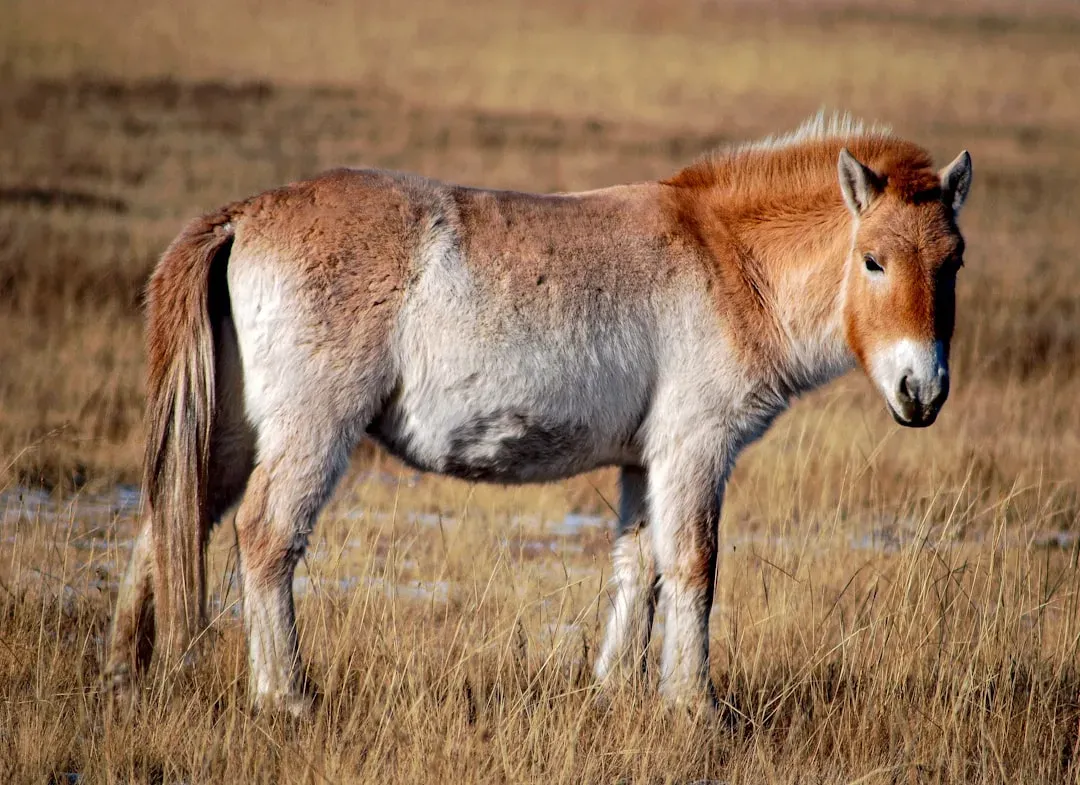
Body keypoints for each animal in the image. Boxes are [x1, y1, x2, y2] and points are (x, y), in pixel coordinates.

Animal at [105, 113, 972, 715]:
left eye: (954, 261)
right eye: (873, 260)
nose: (922, 391)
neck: (727, 258)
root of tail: (244, 215)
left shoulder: (644, 461)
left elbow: (640, 567)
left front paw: (615, 692)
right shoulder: (695, 449)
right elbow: (694, 566)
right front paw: (697, 706)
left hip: (229, 433)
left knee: (170, 516)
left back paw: (125, 673)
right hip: (313, 430)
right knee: (266, 536)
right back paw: (287, 695)